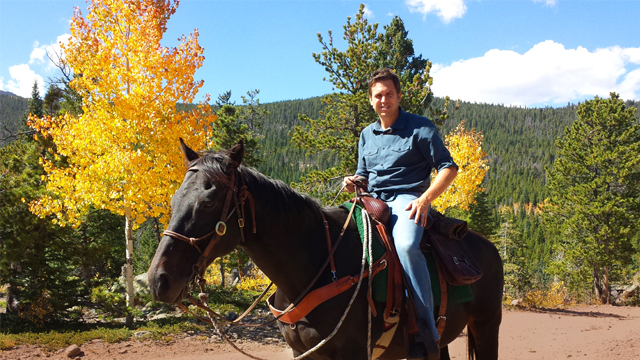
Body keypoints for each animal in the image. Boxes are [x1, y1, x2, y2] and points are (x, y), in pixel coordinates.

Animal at [148, 141, 502, 360]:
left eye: (209, 201)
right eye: (173, 199)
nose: (158, 280)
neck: (316, 267)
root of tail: (487, 246)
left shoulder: (354, 353)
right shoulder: (304, 352)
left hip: (486, 326)